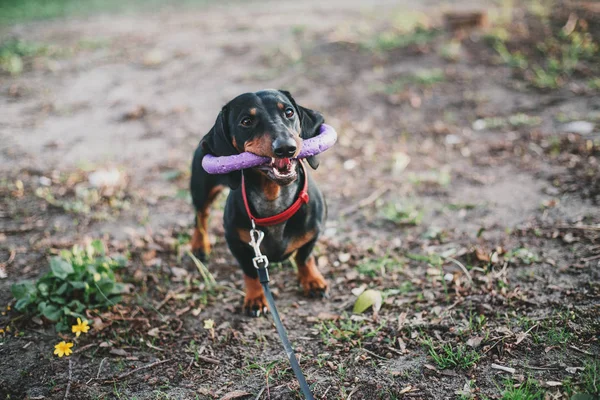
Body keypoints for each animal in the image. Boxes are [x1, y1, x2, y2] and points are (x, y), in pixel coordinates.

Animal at [191, 89, 328, 318]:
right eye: (246, 121)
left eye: (289, 112)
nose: (286, 148)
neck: (274, 201)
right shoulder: (236, 243)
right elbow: (251, 272)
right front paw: (255, 299)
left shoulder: (313, 233)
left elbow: (304, 257)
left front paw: (312, 281)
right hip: (201, 189)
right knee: (201, 214)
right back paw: (199, 245)